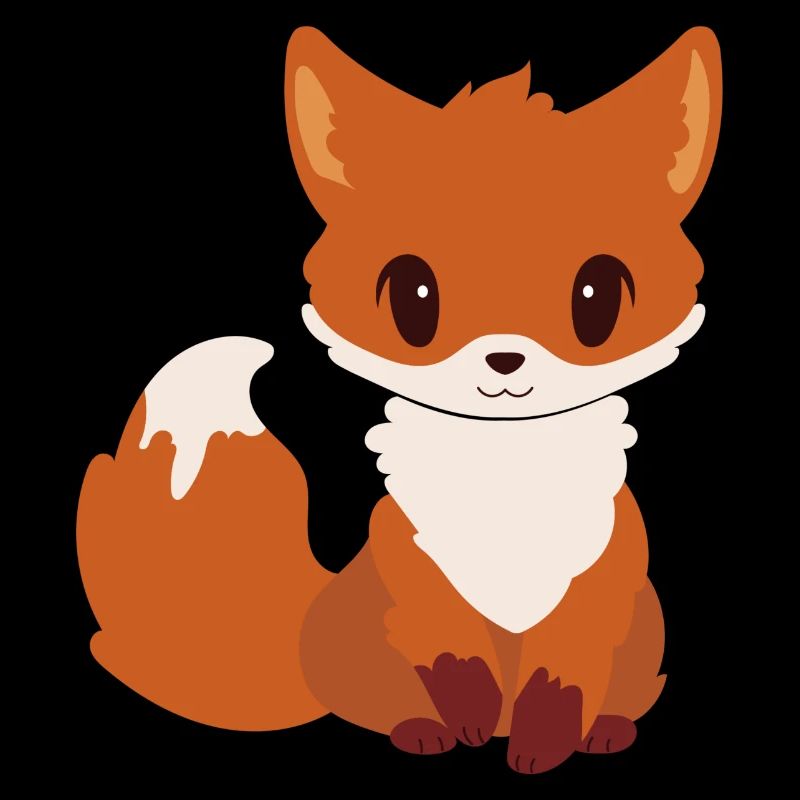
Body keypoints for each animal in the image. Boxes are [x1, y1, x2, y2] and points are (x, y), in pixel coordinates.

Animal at [77, 26, 721, 774]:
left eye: (597, 297)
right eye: (415, 297)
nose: (504, 359)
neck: (506, 483)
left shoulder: (602, 585)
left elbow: (560, 682)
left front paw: (545, 742)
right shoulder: (408, 566)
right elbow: (448, 651)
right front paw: (466, 709)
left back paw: (603, 730)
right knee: (383, 704)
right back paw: (426, 729)